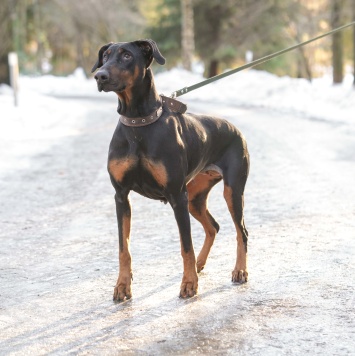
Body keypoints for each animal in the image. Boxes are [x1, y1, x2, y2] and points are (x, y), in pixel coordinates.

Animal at [90, 39, 249, 300]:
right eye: (105, 56)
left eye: (126, 55)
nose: (99, 76)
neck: (138, 124)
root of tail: (236, 129)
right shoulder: (121, 196)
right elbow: (124, 248)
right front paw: (122, 285)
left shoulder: (176, 196)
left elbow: (186, 246)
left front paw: (189, 284)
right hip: (195, 197)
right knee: (213, 227)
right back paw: (200, 264)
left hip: (231, 191)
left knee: (241, 231)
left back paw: (239, 271)